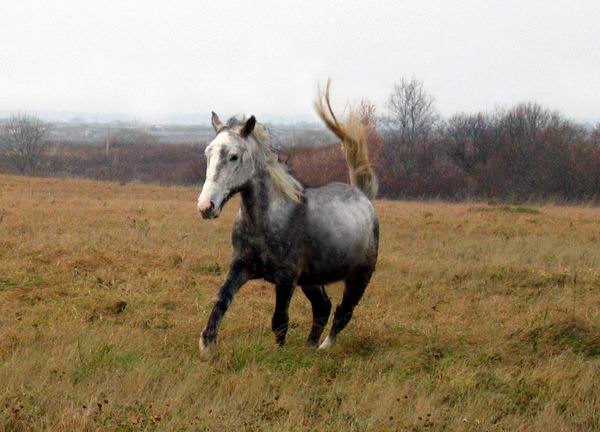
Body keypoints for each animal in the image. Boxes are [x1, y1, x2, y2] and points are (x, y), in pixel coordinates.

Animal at [198, 82, 380, 352]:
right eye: (207, 153)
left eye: (233, 156)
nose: (205, 206)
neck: (263, 222)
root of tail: (363, 196)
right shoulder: (241, 266)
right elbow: (222, 298)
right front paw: (207, 345)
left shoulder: (286, 278)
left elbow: (280, 320)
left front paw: (279, 353)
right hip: (311, 279)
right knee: (323, 307)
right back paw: (310, 346)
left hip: (360, 276)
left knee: (343, 312)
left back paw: (323, 348)